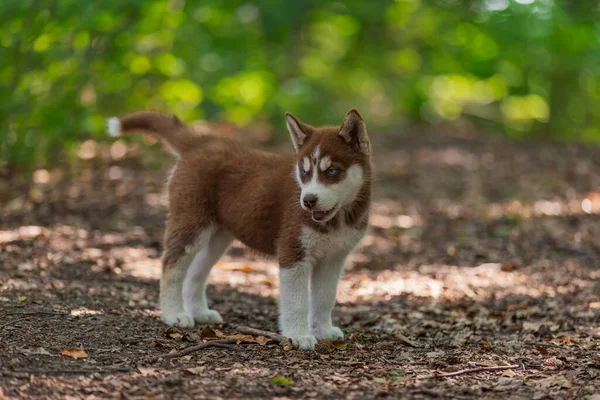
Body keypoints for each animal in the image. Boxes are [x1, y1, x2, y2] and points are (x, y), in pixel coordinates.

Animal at [105, 110, 372, 350]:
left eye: (333, 171)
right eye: (304, 172)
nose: (308, 201)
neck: (339, 217)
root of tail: (201, 143)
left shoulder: (334, 259)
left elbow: (325, 298)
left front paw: (323, 330)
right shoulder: (293, 253)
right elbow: (297, 301)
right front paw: (298, 336)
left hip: (218, 237)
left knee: (195, 273)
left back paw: (200, 312)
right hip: (190, 222)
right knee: (171, 265)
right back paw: (174, 314)